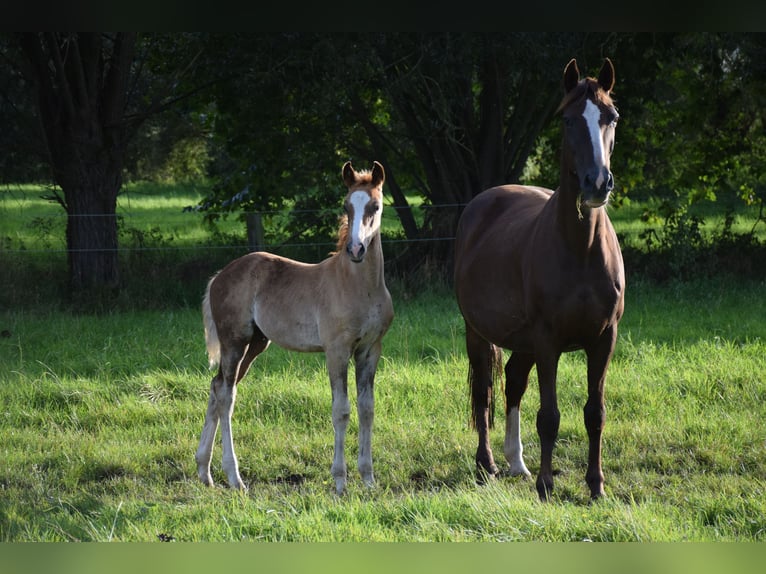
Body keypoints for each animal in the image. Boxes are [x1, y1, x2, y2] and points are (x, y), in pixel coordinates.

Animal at [195, 161, 396, 496]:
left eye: (376, 206)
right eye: (346, 205)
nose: (355, 249)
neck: (359, 286)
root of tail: (220, 276)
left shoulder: (370, 349)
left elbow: (367, 409)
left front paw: (368, 479)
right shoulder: (336, 351)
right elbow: (341, 410)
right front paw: (340, 481)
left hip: (256, 343)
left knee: (217, 385)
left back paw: (204, 471)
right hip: (234, 341)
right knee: (226, 395)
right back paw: (235, 478)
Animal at [456, 57, 624, 500]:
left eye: (611, 117)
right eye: (567, 119)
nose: (597, 183)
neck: (581, 250)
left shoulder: (604, 339)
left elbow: (595, 413)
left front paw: (596, 485)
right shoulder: (548, 340)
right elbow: (549, 415)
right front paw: (548, 486)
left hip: (524, 340)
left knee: (514, 382)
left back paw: (517, 463)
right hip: (479, 332)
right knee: (485, 392)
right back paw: (488, 464)